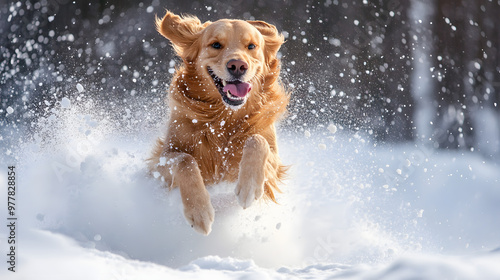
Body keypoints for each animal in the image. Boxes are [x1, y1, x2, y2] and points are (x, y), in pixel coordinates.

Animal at [148, 10, 290, 234]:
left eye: (251, 46)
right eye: (216, 44)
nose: (238, 66)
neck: (223, 117)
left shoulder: (274, 165)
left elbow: (257, 141)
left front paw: (249, 187)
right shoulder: (158, 162)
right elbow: (185, 160)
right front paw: (199, 211)